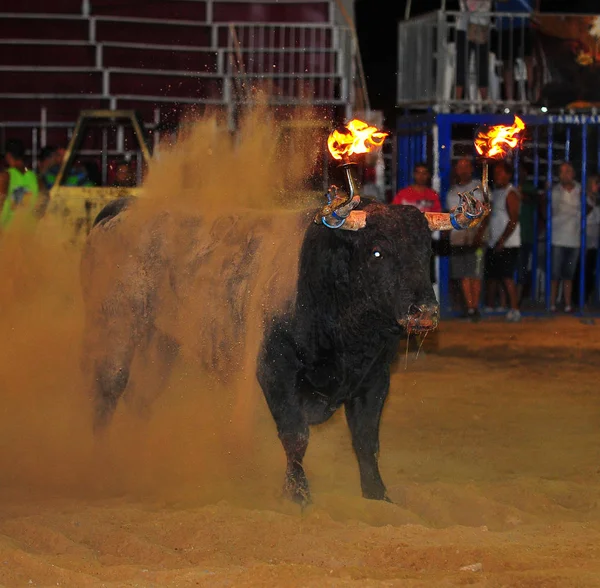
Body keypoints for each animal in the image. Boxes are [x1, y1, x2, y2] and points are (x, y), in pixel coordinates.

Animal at [79, 198, 442, 506]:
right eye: (377, 252)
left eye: (426, 252)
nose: (424, 311)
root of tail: (125, 209)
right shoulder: (274, 370)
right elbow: (295, 435)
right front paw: (297, 495)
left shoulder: (374, 380)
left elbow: (367, 441)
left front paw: (378, 496)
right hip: (116, 327)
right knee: (107, 393)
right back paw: (101, 464)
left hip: (161, 343)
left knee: (140, 398)